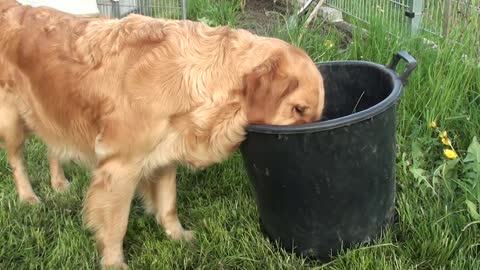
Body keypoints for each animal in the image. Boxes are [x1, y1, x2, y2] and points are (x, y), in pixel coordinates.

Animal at [0, 0, 324, 268]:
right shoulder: (120, 168)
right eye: (298, 109)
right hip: (12, 121)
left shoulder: (166, 153)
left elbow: (168, 204)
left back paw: (58, 183)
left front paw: (177, 235)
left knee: (51, 146)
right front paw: (114, 263)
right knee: (17, 161)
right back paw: (28, 197)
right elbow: (116, 224)